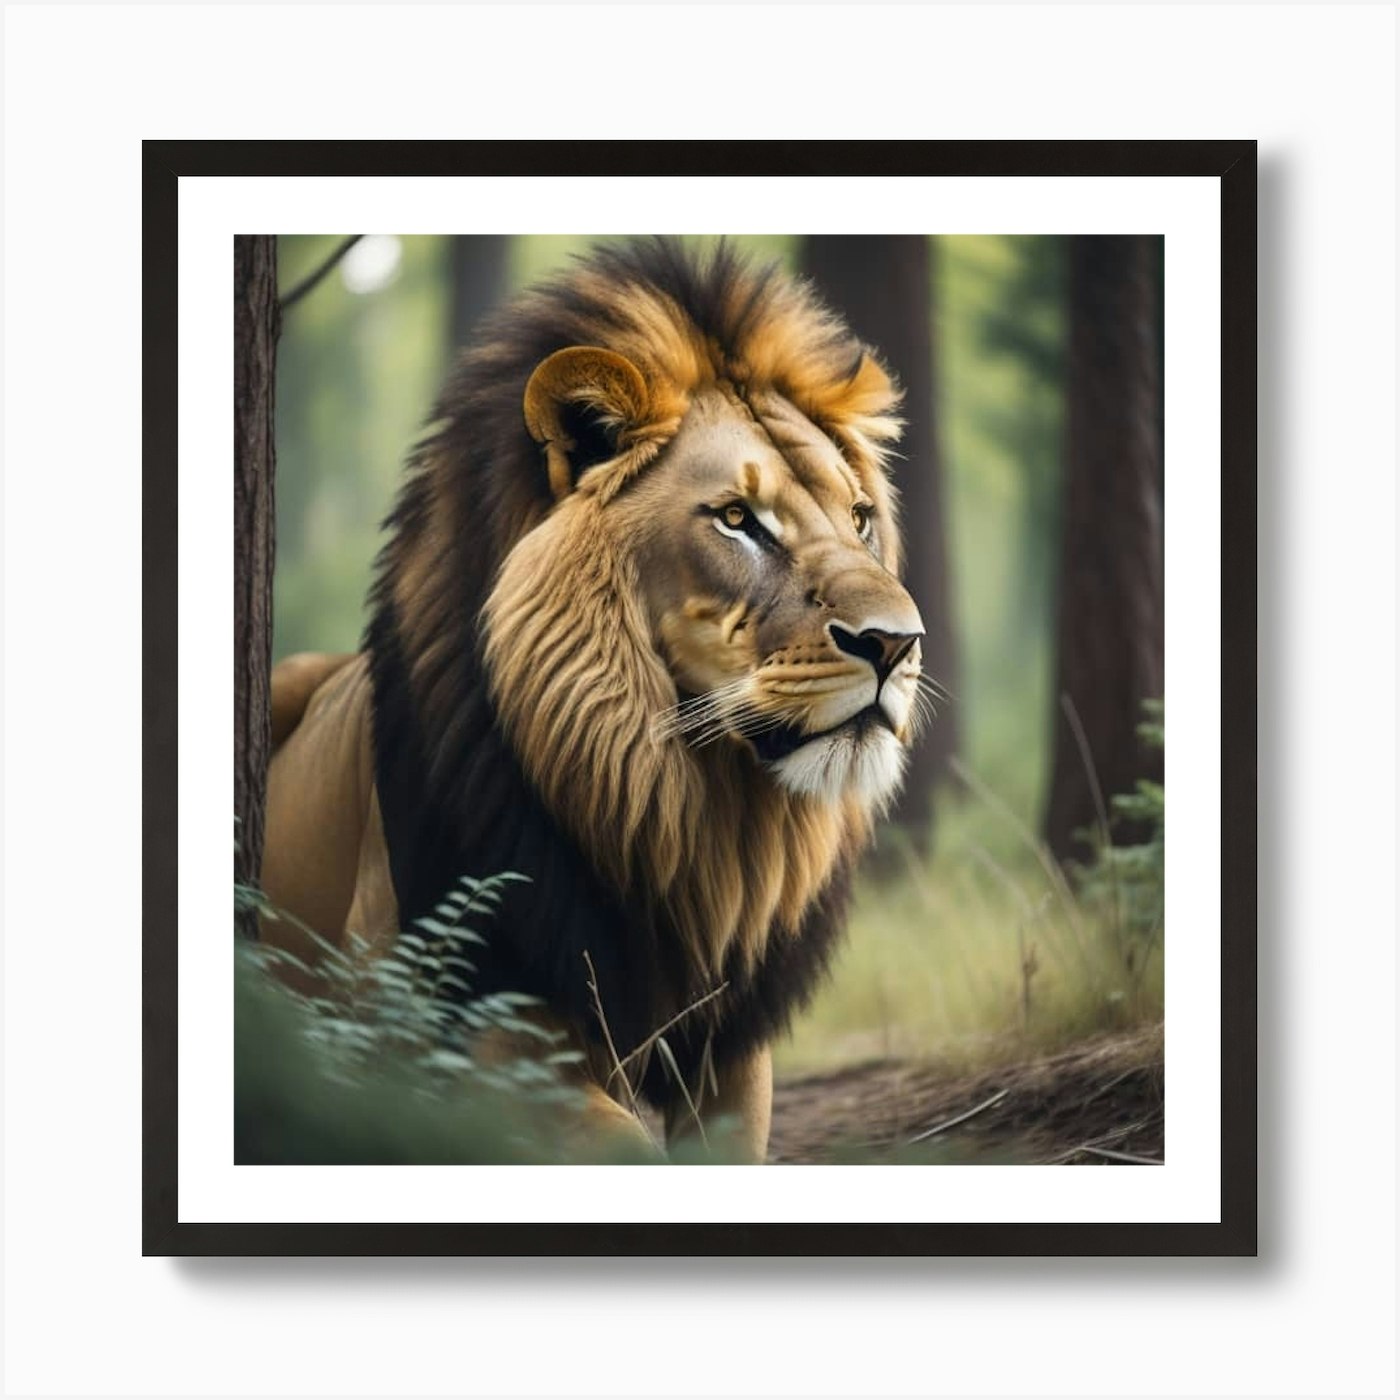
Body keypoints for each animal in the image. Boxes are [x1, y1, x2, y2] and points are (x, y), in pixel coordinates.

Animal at [261, 238, 927, 1162]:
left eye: (860, 517)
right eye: (736, 519)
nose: (898, 645)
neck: (686, 821)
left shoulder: (729, 1048)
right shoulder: (445, 1021)